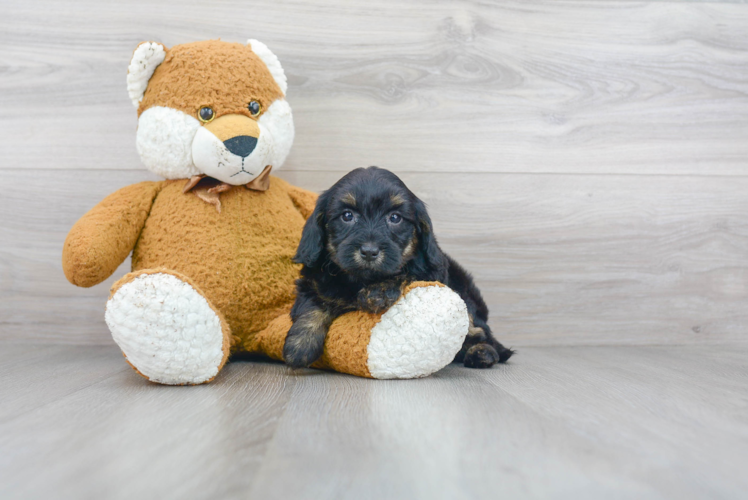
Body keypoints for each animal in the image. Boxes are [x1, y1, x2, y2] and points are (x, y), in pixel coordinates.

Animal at [282, 168, 516, 372]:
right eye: (347, 216)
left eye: (394, 218)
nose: (369, 251)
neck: (360, 280)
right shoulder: (313, 280)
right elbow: (313, 302)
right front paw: (300, 344)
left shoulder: (430, 273)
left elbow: (405, 273)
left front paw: (379, 291)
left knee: (480, 331)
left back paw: (482, 352)